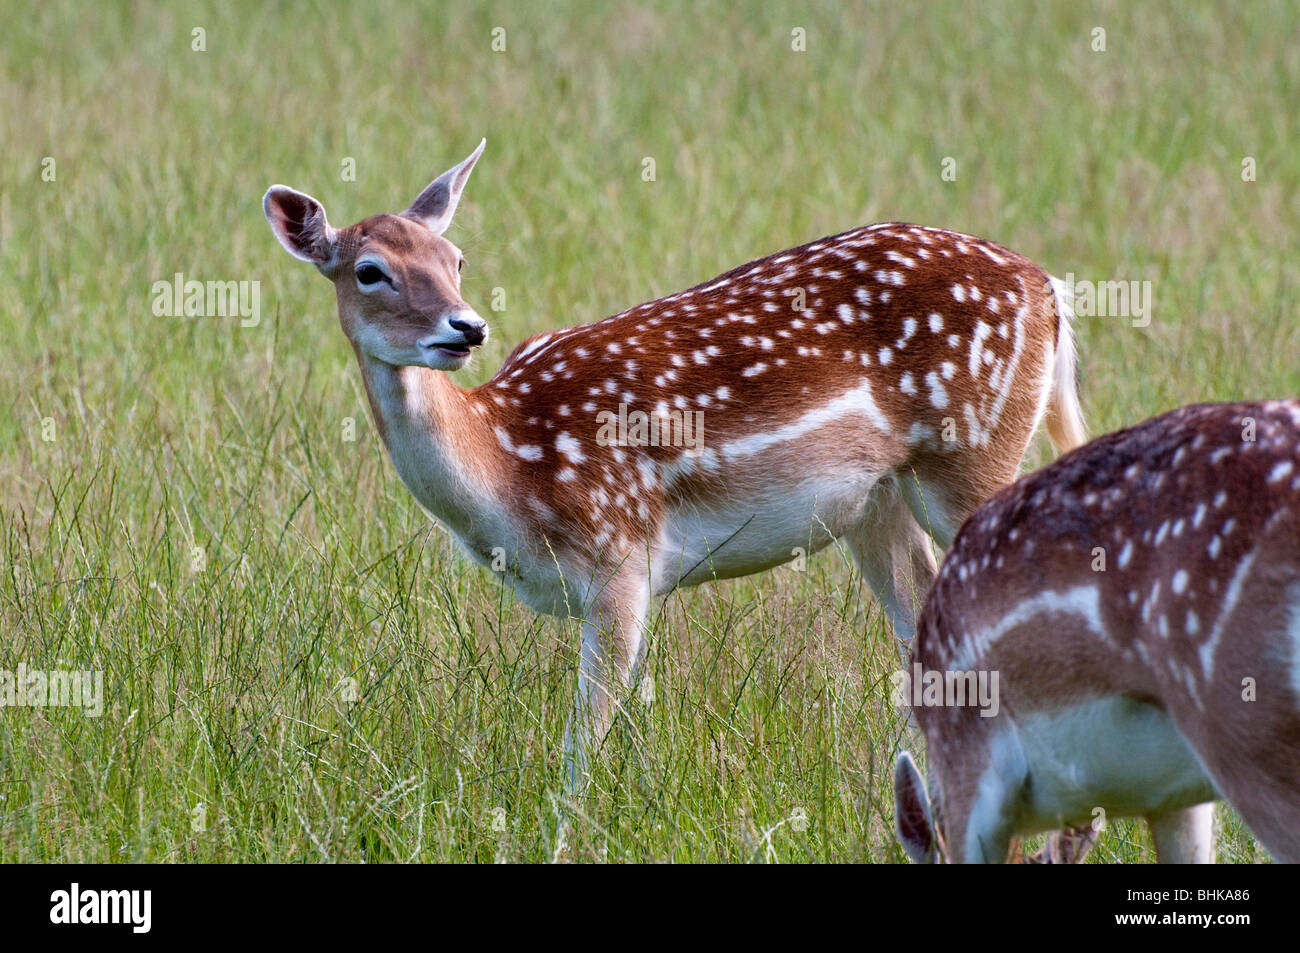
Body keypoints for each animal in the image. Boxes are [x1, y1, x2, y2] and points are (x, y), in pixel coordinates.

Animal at [261, 139, 1086, 790]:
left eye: (455, 258)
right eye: (370, 270)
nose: (465, 327)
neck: (510, 468)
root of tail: (1047, 288)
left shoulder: (621, 554)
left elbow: (581, 749)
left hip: (973, 452)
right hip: (875, 503)